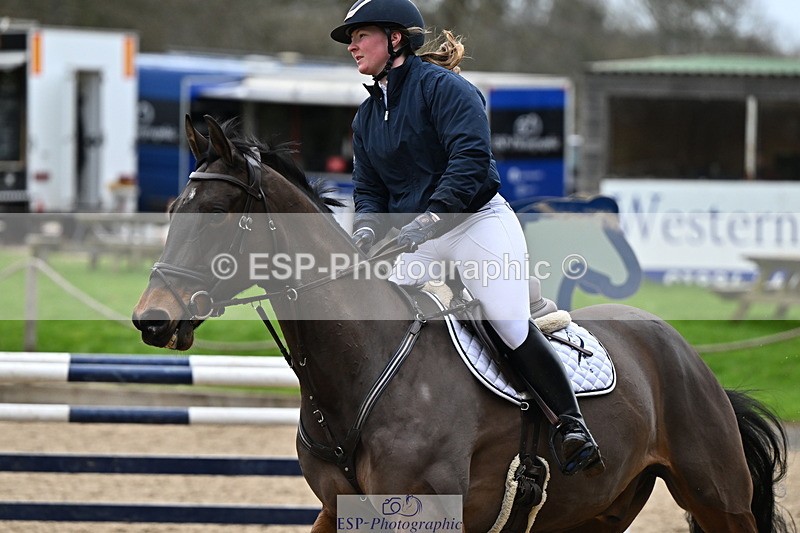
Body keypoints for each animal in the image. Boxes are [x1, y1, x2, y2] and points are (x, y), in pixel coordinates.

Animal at [133, 115, 793, 533]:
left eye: (220, 215)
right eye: (173, 210)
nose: (151, 319)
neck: (360, 369)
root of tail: (684, 351)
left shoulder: (425, 513)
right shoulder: (338, 509)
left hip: (718, 498)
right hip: (597, 513)